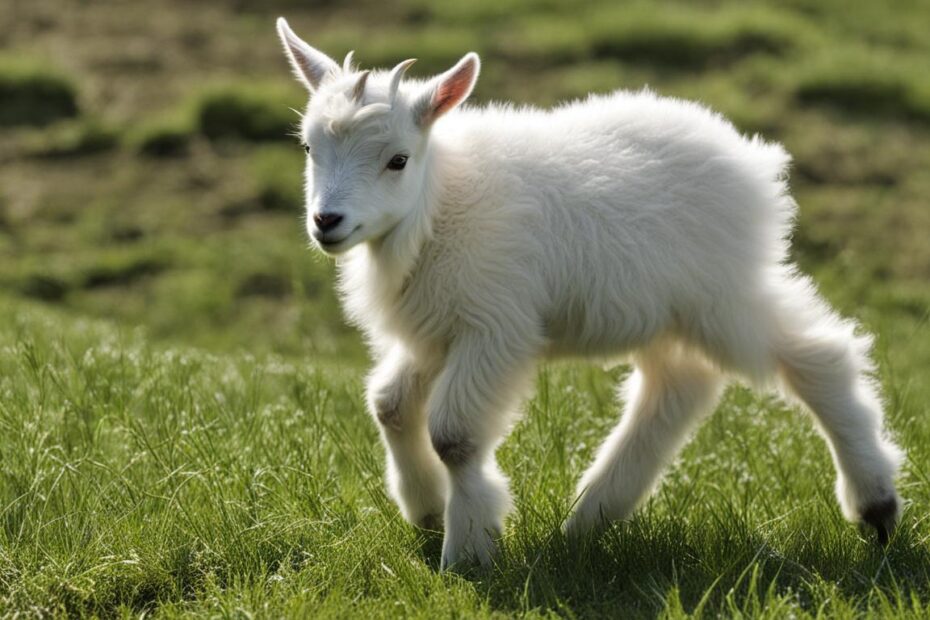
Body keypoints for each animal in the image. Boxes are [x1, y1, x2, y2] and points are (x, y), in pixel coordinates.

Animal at [276, 18, 903, 570]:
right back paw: (587, 520)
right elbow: (390, 403)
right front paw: (428, 511)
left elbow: (454, 435)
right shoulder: (440, 329)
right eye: (308, 149)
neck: (440, 203)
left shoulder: (495, 326)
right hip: (670, 312)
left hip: (724, 296)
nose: (326, 221)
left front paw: (468, 551)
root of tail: (755, 162)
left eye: (398, 159)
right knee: (678, 387)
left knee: (817, 356)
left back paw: (876, 506)